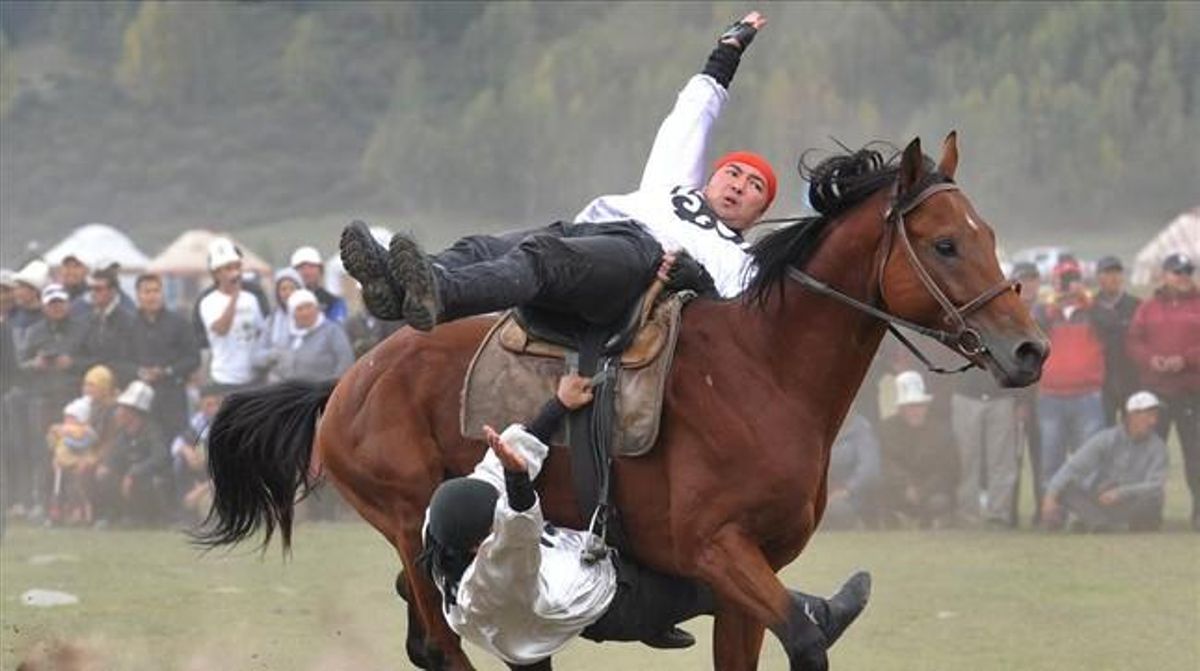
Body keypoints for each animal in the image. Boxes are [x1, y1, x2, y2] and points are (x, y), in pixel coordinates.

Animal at [201, 133, 1046, 667]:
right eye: (945, 243)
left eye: (987, 234)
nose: (1030, 349)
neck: (765, 373)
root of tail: (348, 380)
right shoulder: (720, 550)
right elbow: (807, 639)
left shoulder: (746, 578)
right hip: (410, 518)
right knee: (441, 639)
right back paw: (404, 274)